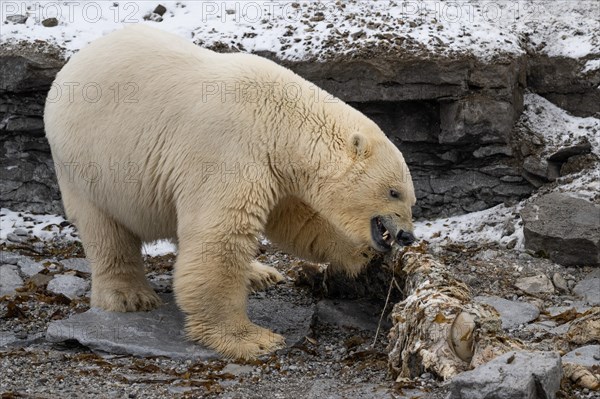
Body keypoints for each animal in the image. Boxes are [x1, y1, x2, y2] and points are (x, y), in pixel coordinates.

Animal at [43, 26, 418, 360]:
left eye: (410, 197)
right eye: (394, 192)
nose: (407, 236)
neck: (279, 116)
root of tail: (72, 64)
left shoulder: (274, 168)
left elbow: (296, 220)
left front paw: (360, 252)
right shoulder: (229, 149)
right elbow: (221, 236)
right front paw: (251, 338)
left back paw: (258, 274)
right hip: (88, 167)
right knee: (106, 231)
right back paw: (130, 296)